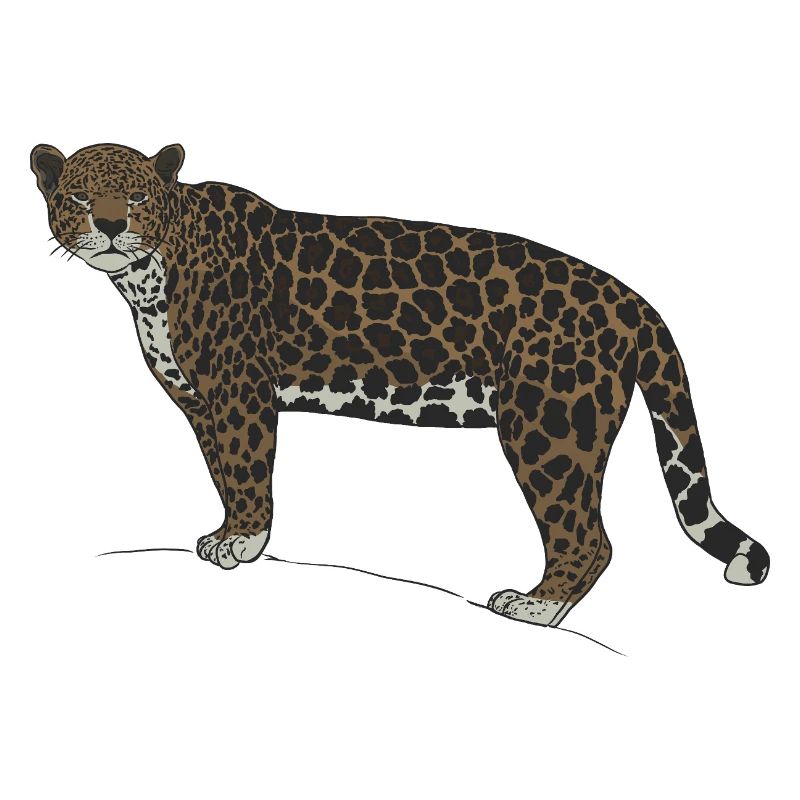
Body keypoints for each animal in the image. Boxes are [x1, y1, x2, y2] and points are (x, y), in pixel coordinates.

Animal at [31, 142, 770, 628]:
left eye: (137, 196)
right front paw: (229, 533)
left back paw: (534, 606)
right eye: (77, 195)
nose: (109, 224)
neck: (148, 277)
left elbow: (245, 468)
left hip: (550, 427)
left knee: (586, 535)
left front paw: (243, 541)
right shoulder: (200, 401)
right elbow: (222, 471)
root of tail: (631, 299)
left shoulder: (239, 393)